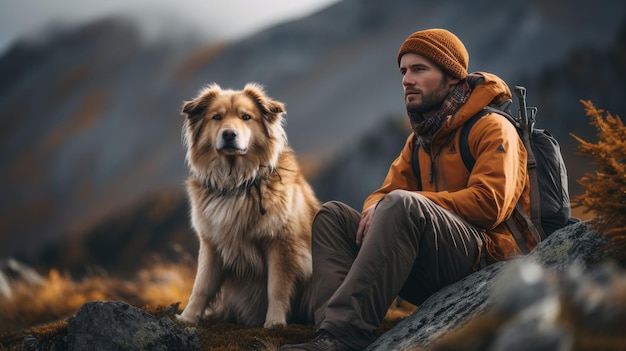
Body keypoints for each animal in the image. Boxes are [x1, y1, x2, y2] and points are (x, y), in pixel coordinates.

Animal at [177, 83, 320, 330]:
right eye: (217, 117)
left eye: (246, 117)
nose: (229, 134)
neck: (237, 183)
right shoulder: (211, 243)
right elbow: (201, 286)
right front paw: (188, 317)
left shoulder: (281, 244)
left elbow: (276, 288)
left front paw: (274, 322)